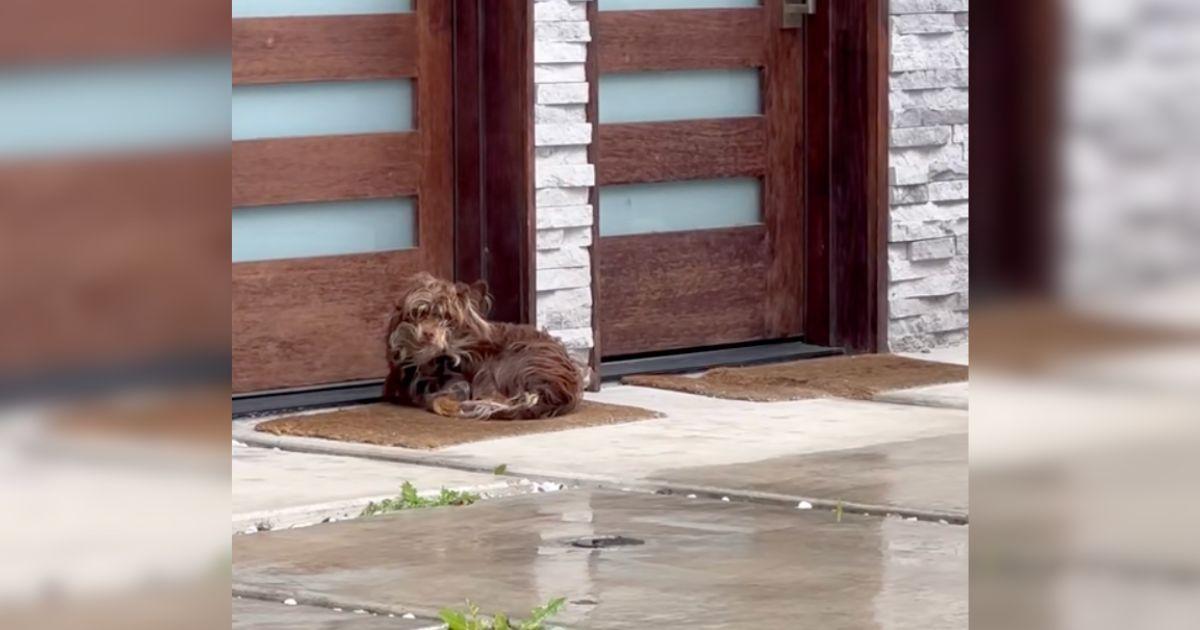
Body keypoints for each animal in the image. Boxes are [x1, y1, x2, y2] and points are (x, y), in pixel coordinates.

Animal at [381, 272, 583, 420]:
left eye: (448, 319)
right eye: (420, 313)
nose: (428, 333)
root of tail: (556, 393)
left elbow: (447, 393)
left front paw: (448, 403)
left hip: (503, 364)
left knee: (497, 398)